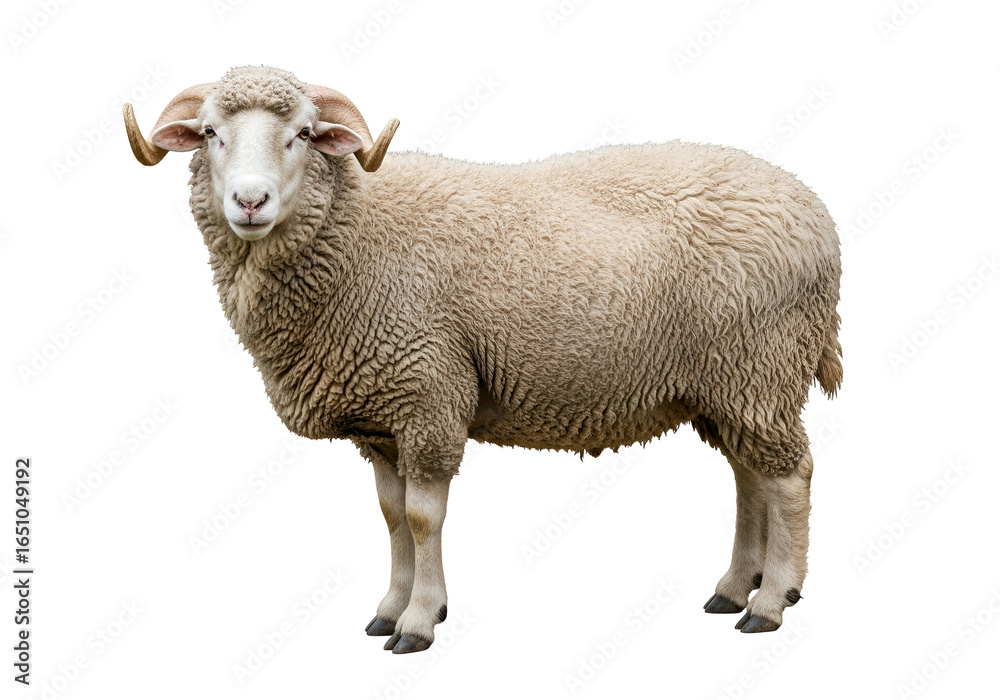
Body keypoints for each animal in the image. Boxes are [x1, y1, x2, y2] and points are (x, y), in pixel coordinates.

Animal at [123, 65, 842, 654]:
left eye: (303, 132)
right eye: (209, 132)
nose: (250, 201)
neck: (354, 234)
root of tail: (814, 212)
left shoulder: (428, 395)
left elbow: (422, 517)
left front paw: (419, 621)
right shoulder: (383, 419)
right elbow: (391, 515)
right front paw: (390, 608)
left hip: (761, 365)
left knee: (790, 477)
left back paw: (771, 602)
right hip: (731, 383)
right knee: (750, 476)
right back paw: (733, 588)